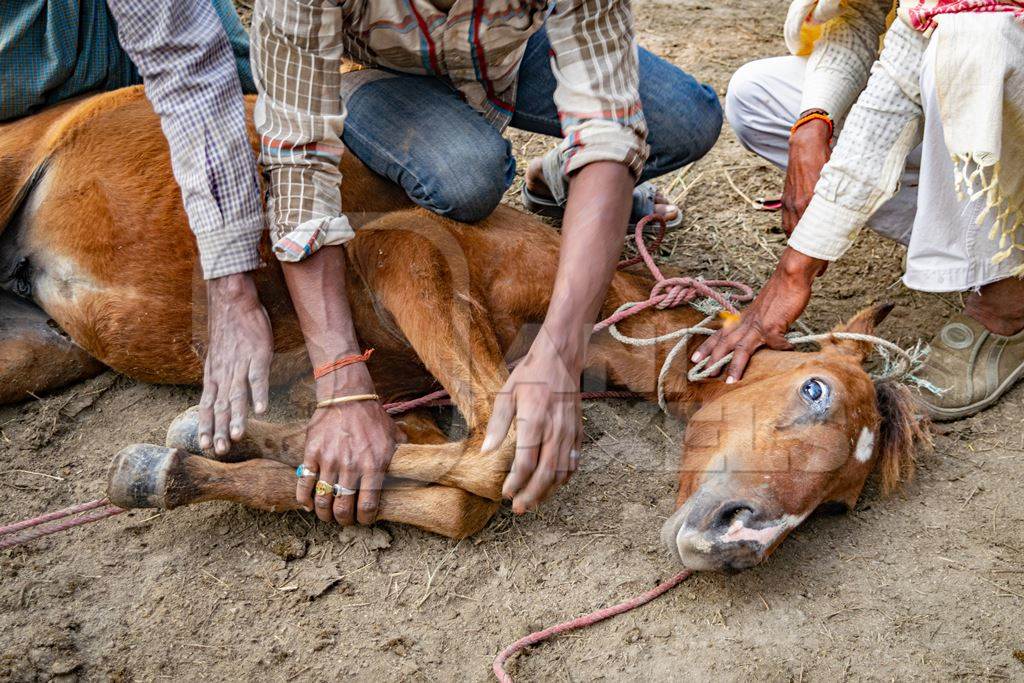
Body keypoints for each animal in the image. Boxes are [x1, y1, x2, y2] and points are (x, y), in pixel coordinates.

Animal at [0, 87, 929, 573]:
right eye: (814, 389)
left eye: (842, 502)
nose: (741, 542)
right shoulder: (401, 251)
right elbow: (485, 451)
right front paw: (195, 442)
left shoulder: (396, 390)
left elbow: (432, 482)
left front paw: (210, 447)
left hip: (35, 348)